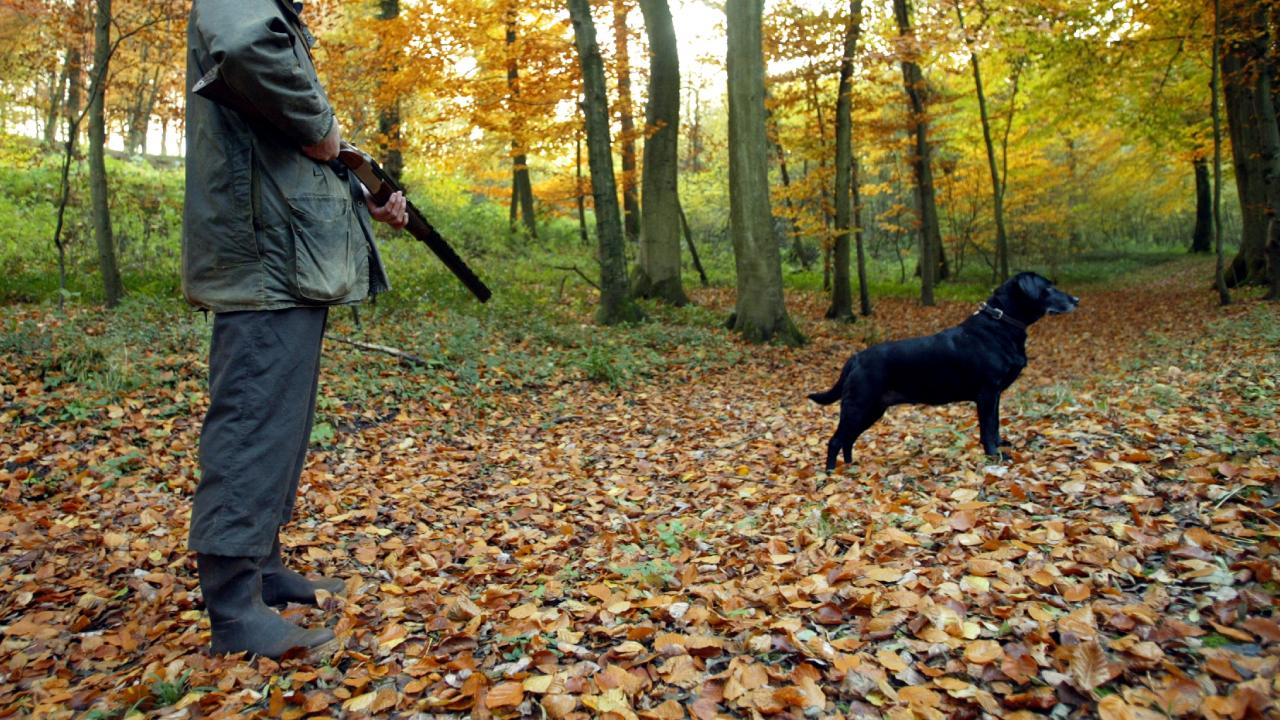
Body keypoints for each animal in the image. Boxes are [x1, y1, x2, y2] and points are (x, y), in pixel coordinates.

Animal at [814, 271, 1075, 468]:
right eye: (1048, 288)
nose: (1076, 300)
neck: (1001, 324)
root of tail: (855, 358)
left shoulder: (996, 395)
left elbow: (996, 423)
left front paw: (1001, 444)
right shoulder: (987, 393)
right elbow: (988, 427)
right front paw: (995, 455)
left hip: (872, 409)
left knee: (848, 439)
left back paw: (850, 466)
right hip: (859, 405)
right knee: (836, 440)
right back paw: (831, 474)